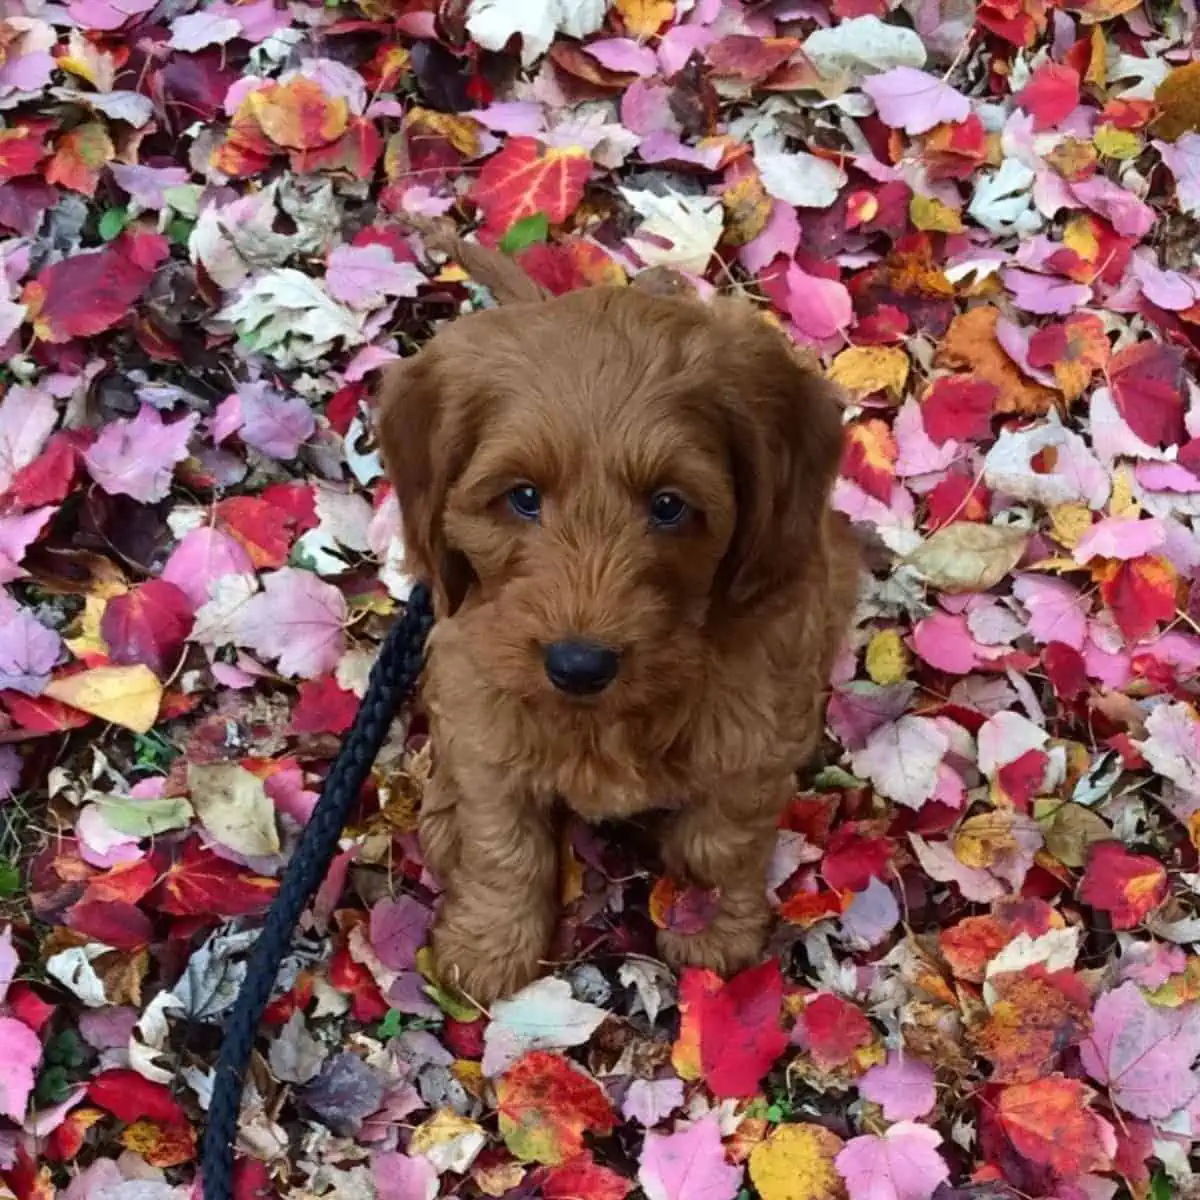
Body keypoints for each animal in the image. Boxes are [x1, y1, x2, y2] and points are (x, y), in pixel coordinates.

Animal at [379, 265, 859, 1003]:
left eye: (668, 506)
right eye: (522, 496)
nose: (579, 665)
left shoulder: (752, 736)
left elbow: (721, 840)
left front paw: (714, 928)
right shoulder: (481, 700)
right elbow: (503, 842)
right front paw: (489, 944)